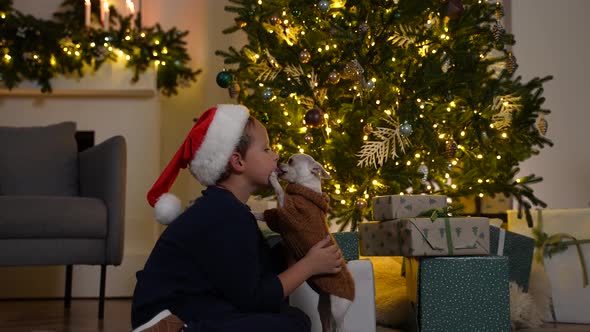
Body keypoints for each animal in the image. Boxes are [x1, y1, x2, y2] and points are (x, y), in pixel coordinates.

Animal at [264, 154, 356, 332]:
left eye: (291, 161)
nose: (279, 162)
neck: (306, 190)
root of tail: (352, 297)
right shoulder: (281, 218)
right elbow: (264, 215)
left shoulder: (288, 212)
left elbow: (279, 191)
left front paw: (272, 178)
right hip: (324, 307)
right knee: (327, 324)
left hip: (337, 310)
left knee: (340, 326)